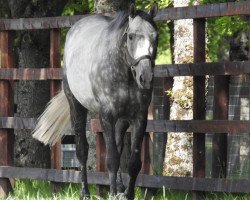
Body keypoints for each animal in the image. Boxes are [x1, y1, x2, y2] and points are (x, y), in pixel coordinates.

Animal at [33, 3, 158, 200]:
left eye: (155, 36)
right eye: (131, 36)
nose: (145, 78)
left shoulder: (139, 117)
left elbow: (133, 162)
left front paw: (126, 194)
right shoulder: (107, 116)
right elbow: (112, 159)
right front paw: (112, 194)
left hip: (122, 121)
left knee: (118, 147)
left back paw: (119, 188)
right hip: (77, 107)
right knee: (82, 150)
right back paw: (85, 192)